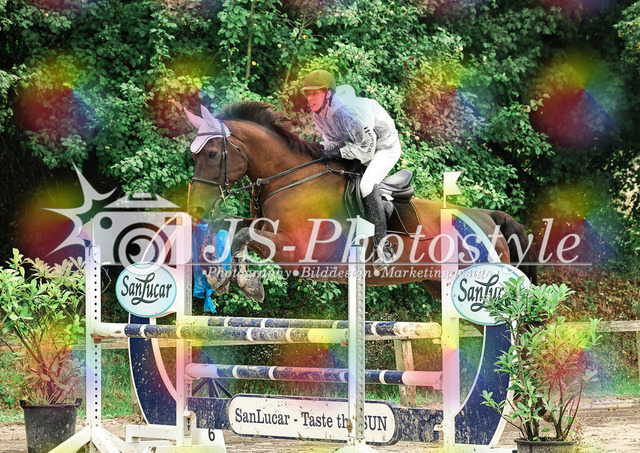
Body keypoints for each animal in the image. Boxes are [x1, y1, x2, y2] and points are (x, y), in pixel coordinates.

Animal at [185, 103, 537, 301]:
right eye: (195, 156)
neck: (289, 179)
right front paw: (222, 277)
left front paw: (245, 282)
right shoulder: (266, 227)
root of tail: (488, 216)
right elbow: (235, 228)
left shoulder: (300, 250)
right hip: (440, 285)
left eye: (212, 154)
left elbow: (245, 234)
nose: (196, 208)